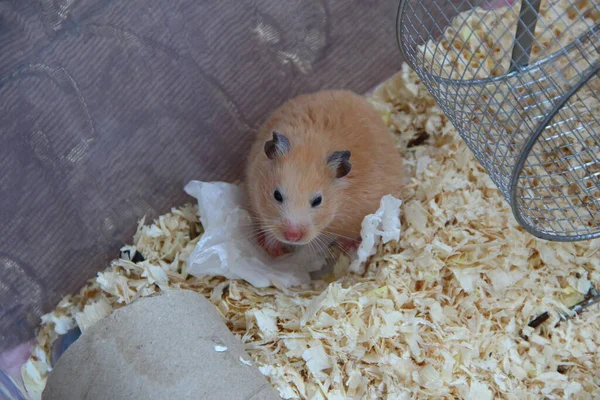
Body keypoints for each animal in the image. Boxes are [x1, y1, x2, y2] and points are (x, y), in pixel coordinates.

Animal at [244, 89, 404, 258]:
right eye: (277, 195)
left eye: (317, 201)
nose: (292, 237)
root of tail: (353, 95)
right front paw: (274, 250)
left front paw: (347, 245)